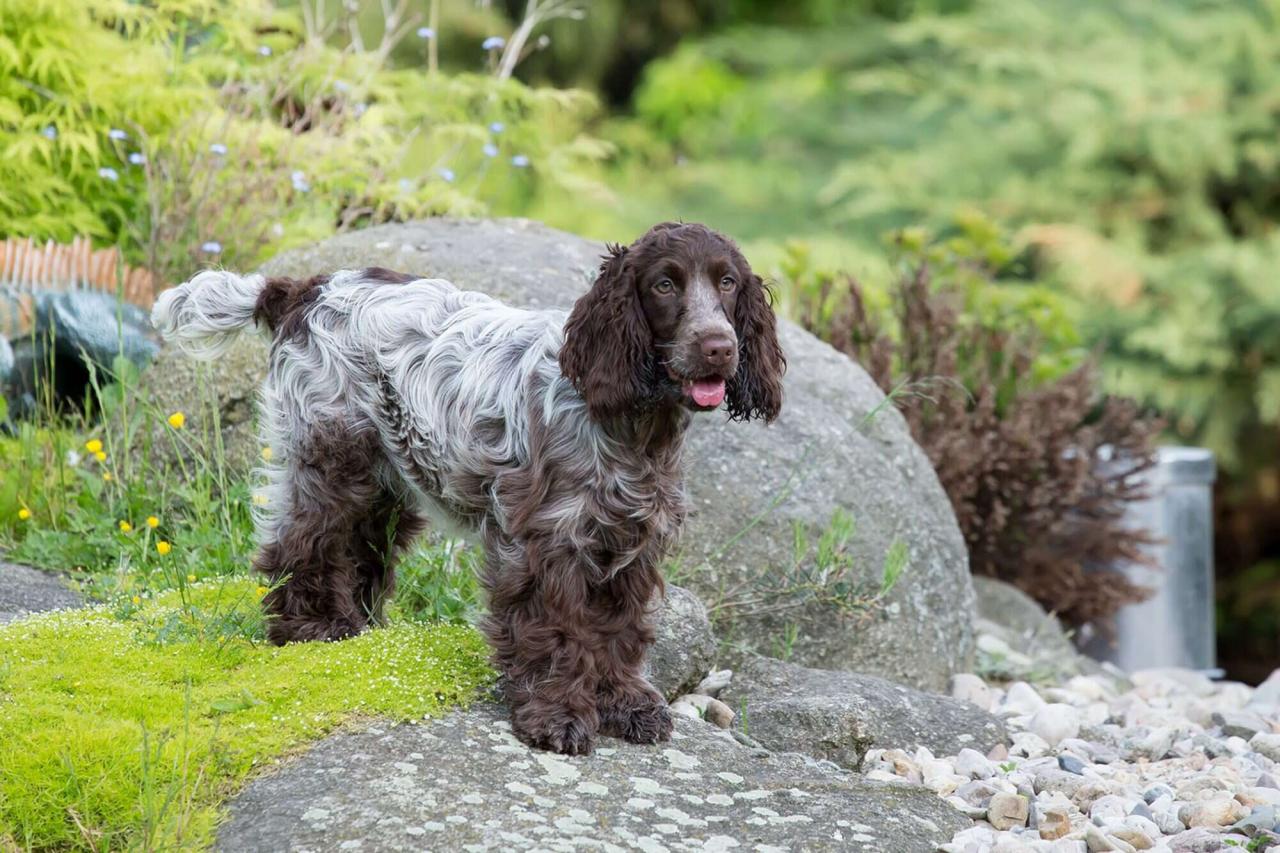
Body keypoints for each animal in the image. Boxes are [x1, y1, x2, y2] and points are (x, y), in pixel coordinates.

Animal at [154, 220, 783, 753]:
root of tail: (305, 289)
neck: (631, 427)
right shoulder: (544, 542)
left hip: (386, 480)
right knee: (301, 542)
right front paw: (557, 716)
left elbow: (618, 630)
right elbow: (555, 632)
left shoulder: (628, 542)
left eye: (727, 282)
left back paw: (361, 627)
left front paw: (624, 705)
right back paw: (313, 628)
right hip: (332, 454)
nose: (719, 346)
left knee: (358, 549)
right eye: (663, 284)